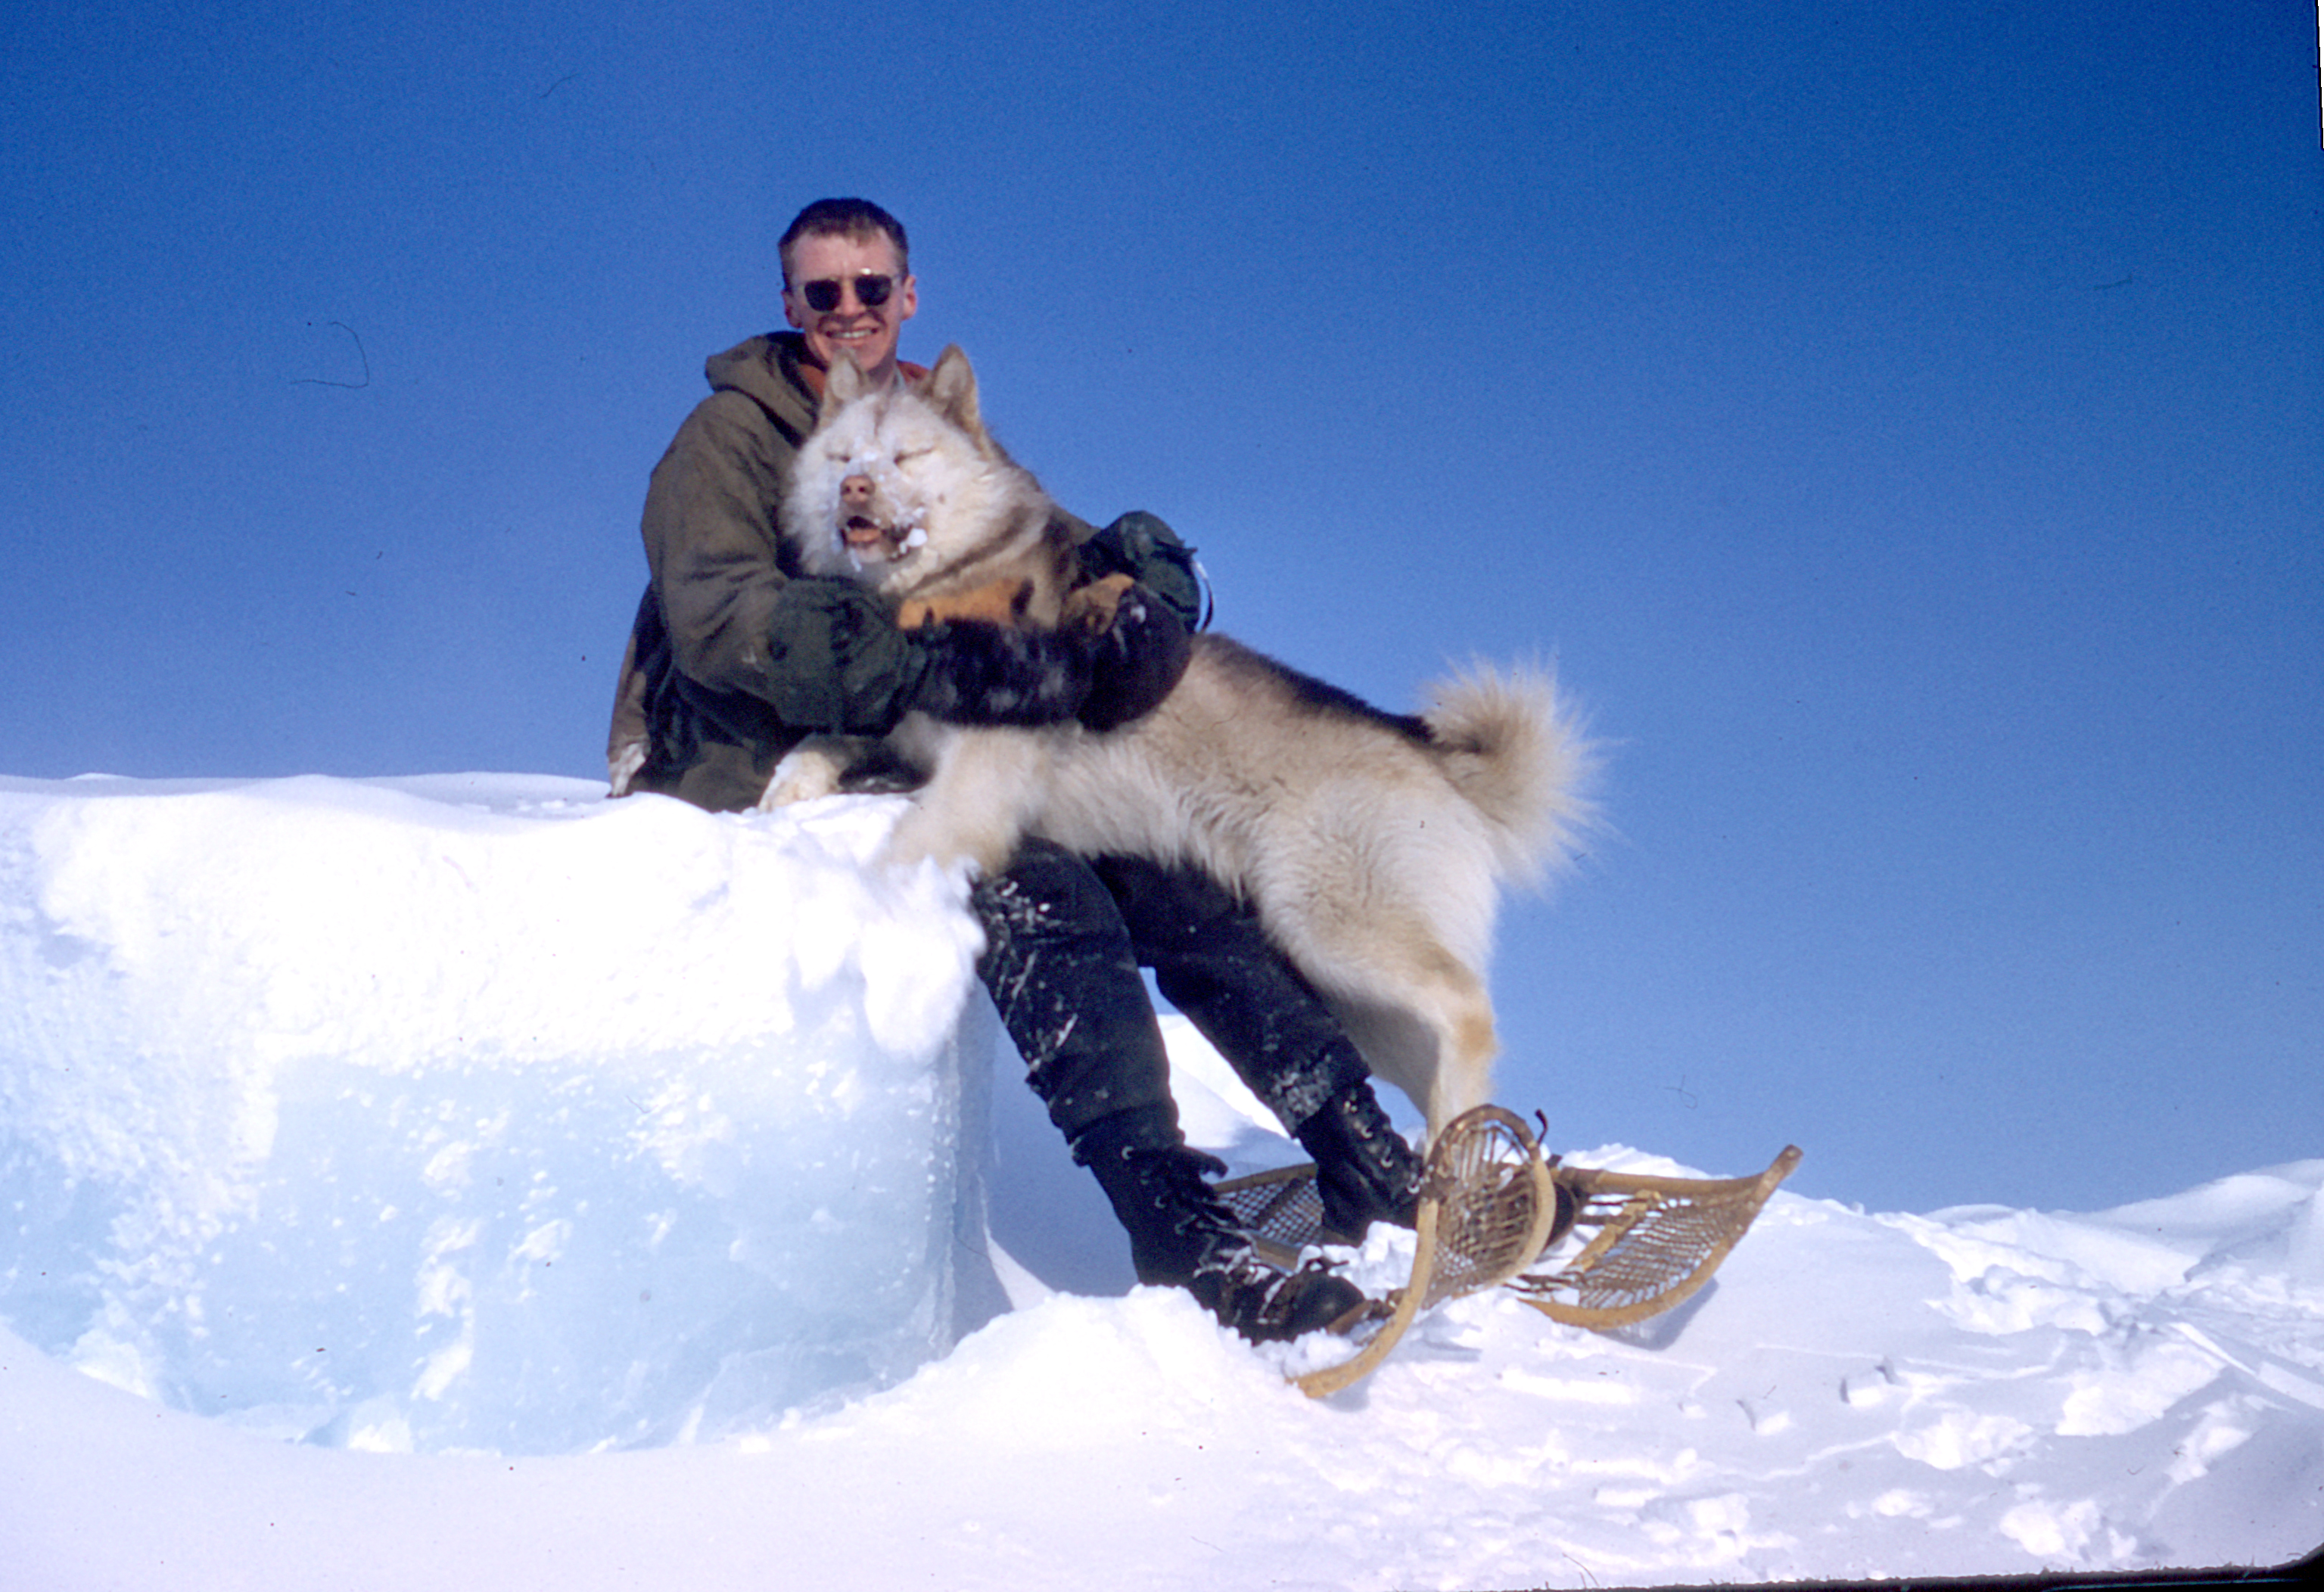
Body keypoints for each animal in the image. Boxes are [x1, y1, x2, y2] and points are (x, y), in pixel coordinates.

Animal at [762, 348, 1598, 1129]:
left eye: (905, 456)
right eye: (843, 457)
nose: (854, 489)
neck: (940, 596)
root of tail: (1429, 754)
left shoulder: (981, 773)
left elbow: (906, 850)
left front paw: (855, 914)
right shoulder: (897, 724)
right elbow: (820, 740)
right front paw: (780, 794)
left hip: (1335, 928)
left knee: (1468, 1009)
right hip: (1345, 988)